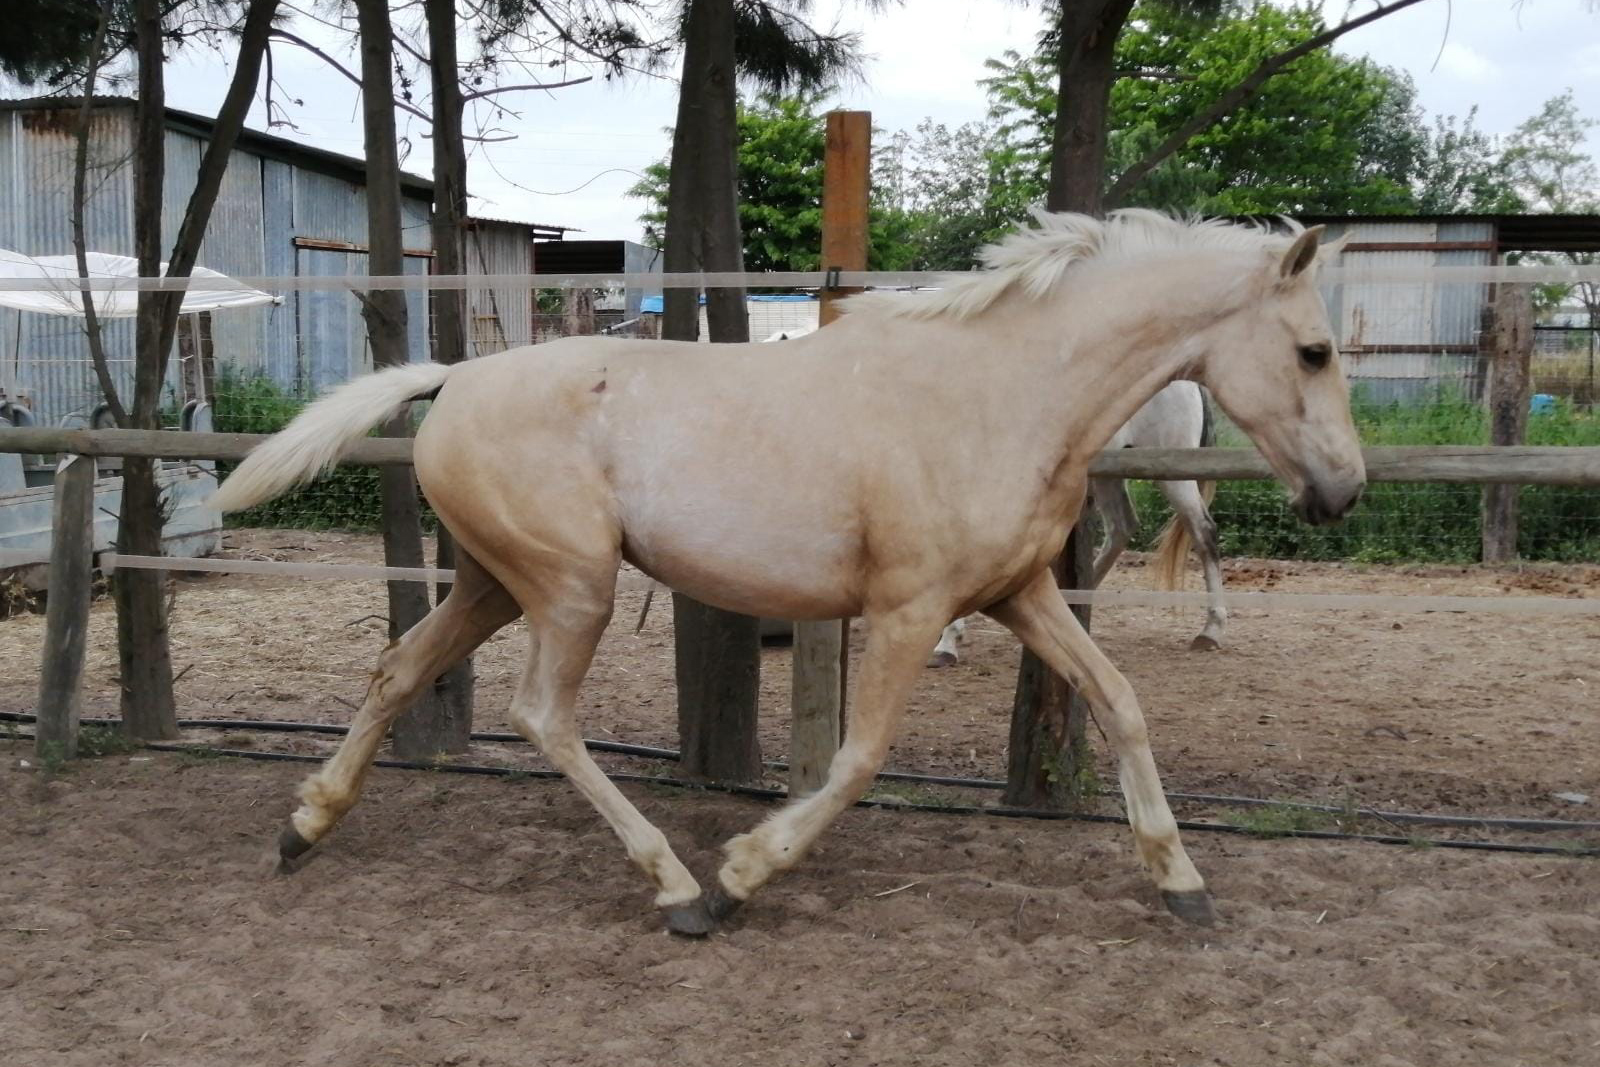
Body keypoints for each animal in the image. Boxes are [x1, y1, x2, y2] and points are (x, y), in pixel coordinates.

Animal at [929, 378, 1229, 666]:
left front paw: (947, 643)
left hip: (1170, 471)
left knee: (1203, 531)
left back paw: (1210, 631)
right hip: (1113, 470)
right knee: (1122, 526)